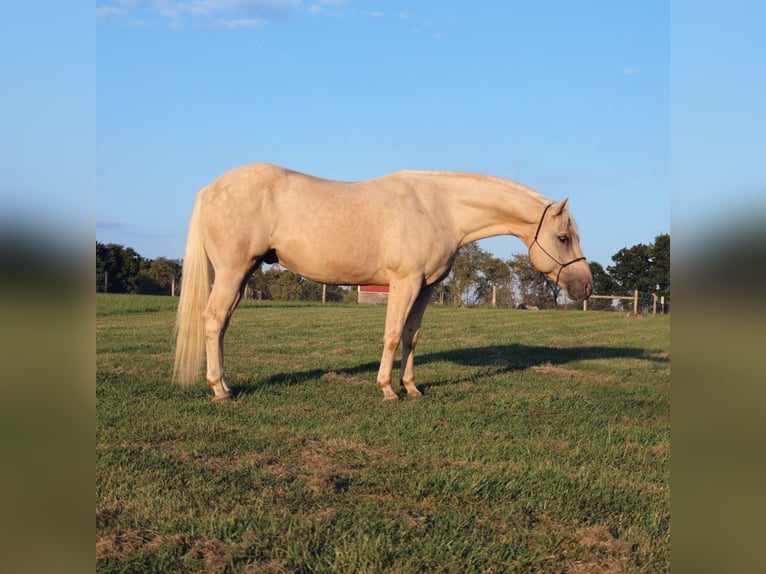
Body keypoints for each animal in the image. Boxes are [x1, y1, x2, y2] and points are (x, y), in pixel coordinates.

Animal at [173, 163, 593, 401]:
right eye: (563, 238)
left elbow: (411, 336)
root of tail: (210, 189)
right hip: (232, 270)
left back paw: (224, 385)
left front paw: (412, 387)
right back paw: (219, 390)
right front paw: (387, 389)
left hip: (240, 273)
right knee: (213, 321)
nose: (585, 287)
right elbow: (391, 334)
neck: (439, 207)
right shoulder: (404, 282)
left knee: (221, 325)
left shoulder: (425, 287)